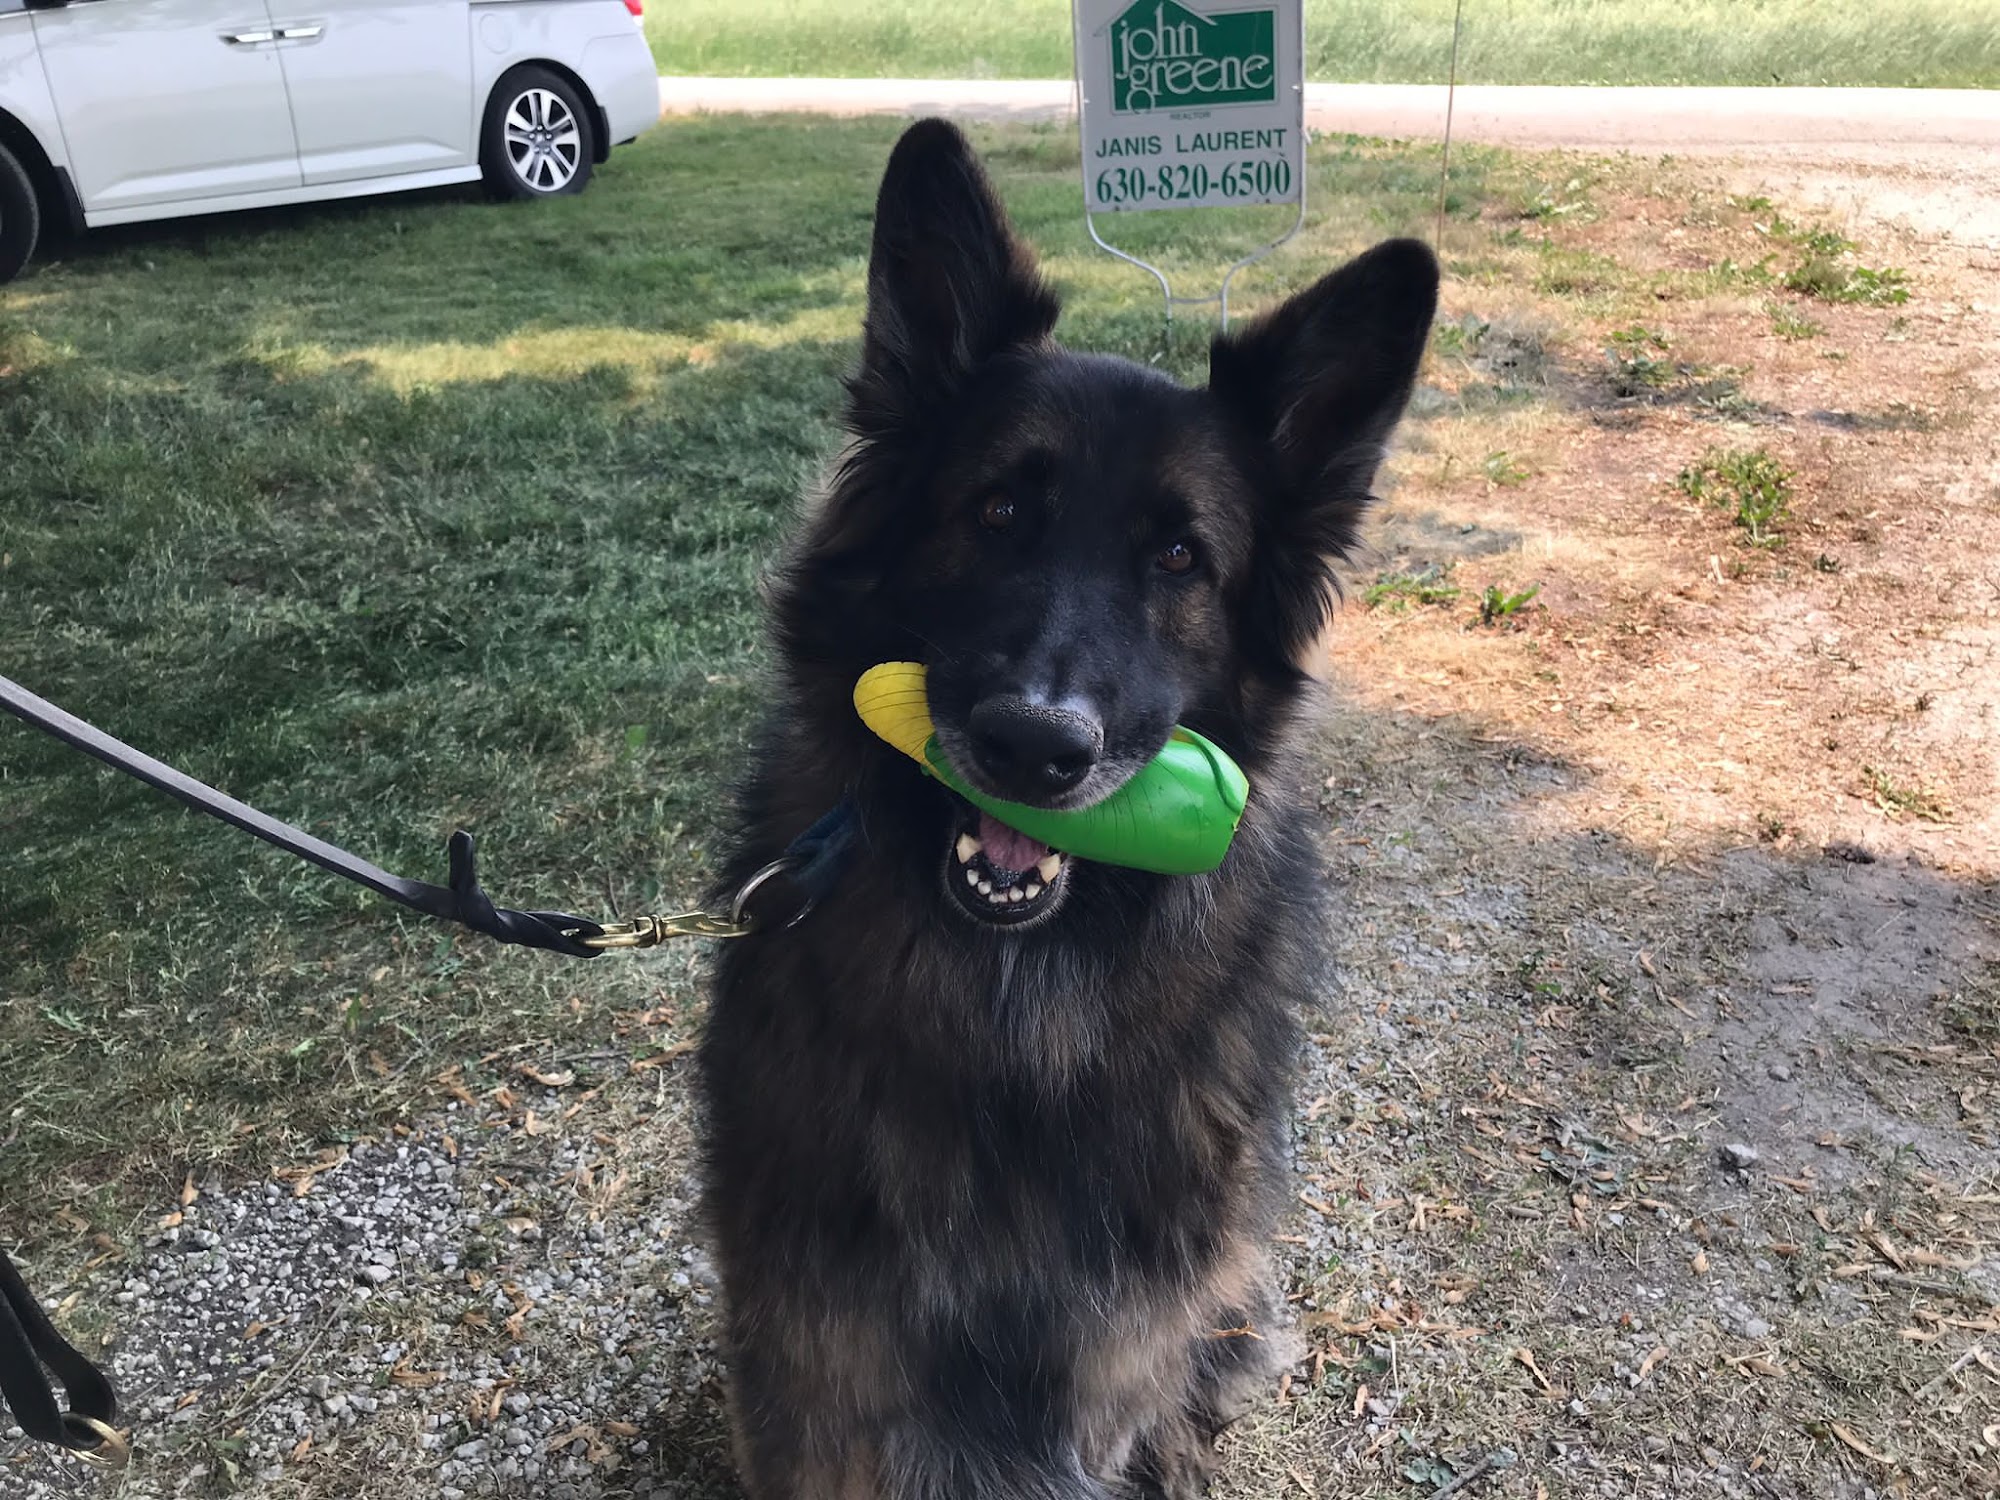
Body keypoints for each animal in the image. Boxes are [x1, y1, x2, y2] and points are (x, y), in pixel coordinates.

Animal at [696, 120, 1432, 1500]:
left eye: (1180, 558)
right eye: (995, 511)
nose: (1034, 746)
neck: (1013, 1022)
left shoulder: (1107, 1365)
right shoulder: (823, 1368)